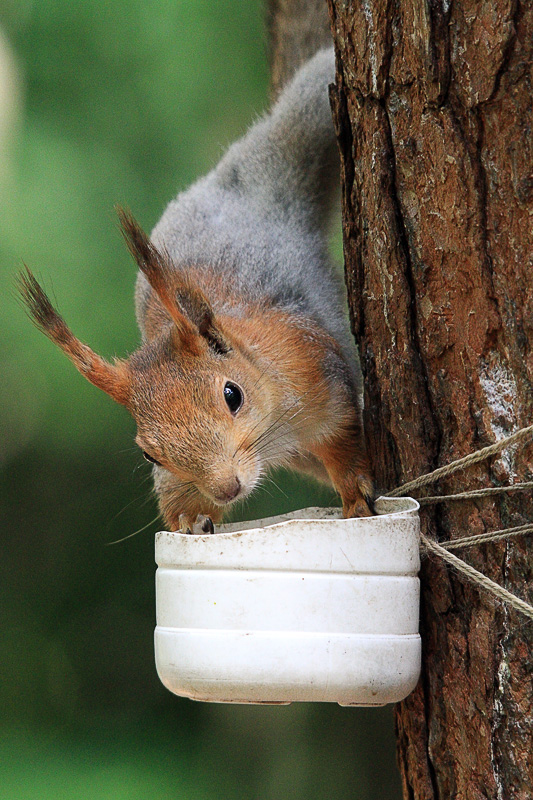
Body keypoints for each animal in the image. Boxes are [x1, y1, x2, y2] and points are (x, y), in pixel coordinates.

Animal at [18, 51, 372, 536]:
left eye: (232, 395)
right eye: (149, 453)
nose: (227, 489)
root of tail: (236, 184)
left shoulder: (317, 375)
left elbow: (341, 441)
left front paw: (355, 496)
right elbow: (179, 496)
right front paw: (188, 519)